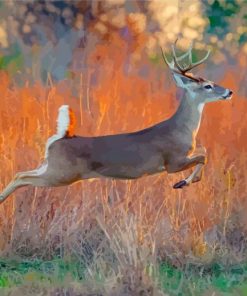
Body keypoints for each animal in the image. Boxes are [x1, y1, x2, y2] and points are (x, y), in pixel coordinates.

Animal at [0, 42, 233, 204]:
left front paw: (184, 182)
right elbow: (203, 155)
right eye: (208, 86)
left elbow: (203, 152)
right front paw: (182, 182)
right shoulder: (172, 161)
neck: (182, 129)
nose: (229, 92)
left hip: (50, 166)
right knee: (22, 177)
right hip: (61, 173)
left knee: (21, 173)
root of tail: (62, 136)